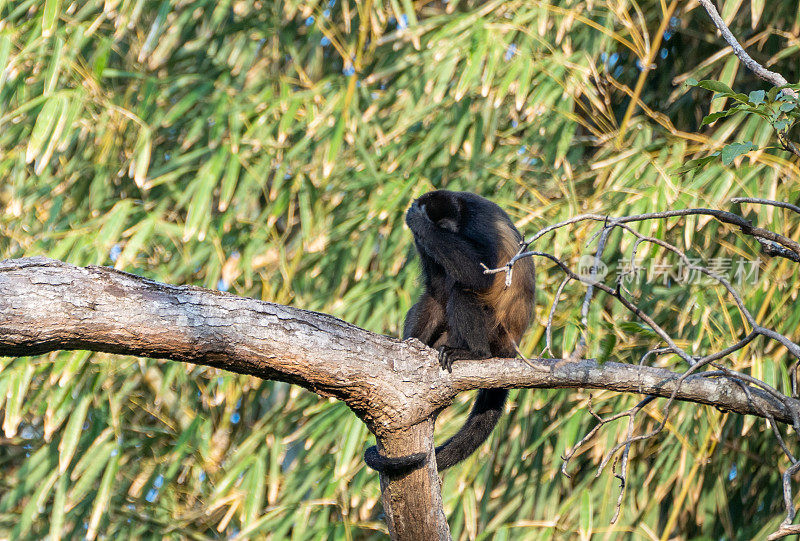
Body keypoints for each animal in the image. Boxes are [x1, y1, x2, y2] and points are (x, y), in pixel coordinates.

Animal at [366, 189, 536, 472]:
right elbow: (436, 290)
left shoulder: (478, 221)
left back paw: (477, 354)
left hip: (495, 332)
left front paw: (417, 218)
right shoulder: (423, 243)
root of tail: (512, 344)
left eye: (446, 229)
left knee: (463, 290)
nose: (446, 233)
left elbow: (479, 275)